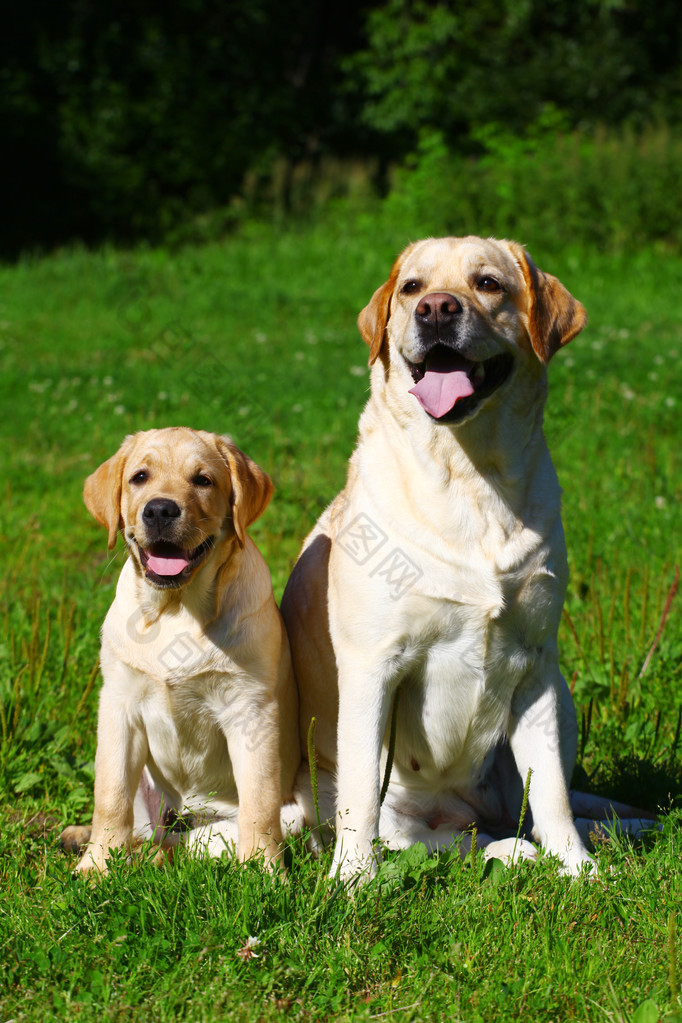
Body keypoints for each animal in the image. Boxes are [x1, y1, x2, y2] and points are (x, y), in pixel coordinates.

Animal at [62, 427, 300, 875]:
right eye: (139, 477)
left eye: (202, 480)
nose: (159, 510)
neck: (175, 609)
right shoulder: (118, 705)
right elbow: (110, 795)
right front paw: (96, 866)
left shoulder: (251, 710)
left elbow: (259, 802)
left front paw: (264, 872)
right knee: (141, 829)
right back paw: (83, 838)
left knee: (182, 844)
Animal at [282, 237, 654, 879]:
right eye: (411, 287)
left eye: (488, 283)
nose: (435, 309)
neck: (471, 475)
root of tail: (459, 809)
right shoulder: (373, 665)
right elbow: (361, 794)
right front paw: (352, 881)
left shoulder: (536, 663)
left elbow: (552, 793)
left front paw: (579, 870)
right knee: (438, 838)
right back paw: (505, 850)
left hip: (562, 700)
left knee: (532, 810)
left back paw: (608, 832)